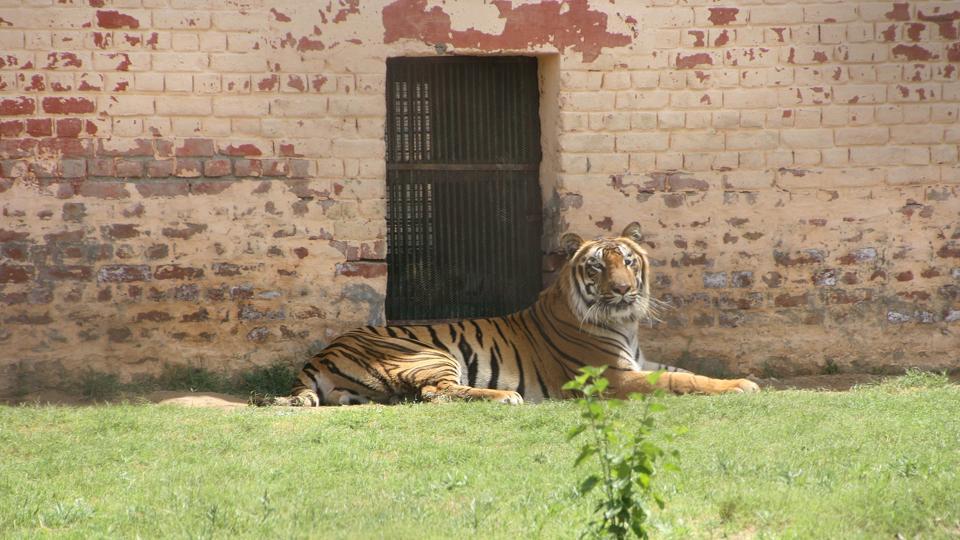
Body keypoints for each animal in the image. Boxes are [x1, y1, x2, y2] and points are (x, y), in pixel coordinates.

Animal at [266, 221, 760, 408]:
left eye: (628, 261)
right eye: (597, 267)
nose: (622, 290)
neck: (625, 324)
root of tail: (321, 352)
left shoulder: (638, 362)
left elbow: (685, 370)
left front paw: (743, 379)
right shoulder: (612, 377)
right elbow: (683, 382)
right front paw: (743, 386)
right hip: (431, 355)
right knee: (436, 394)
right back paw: (505, 397)